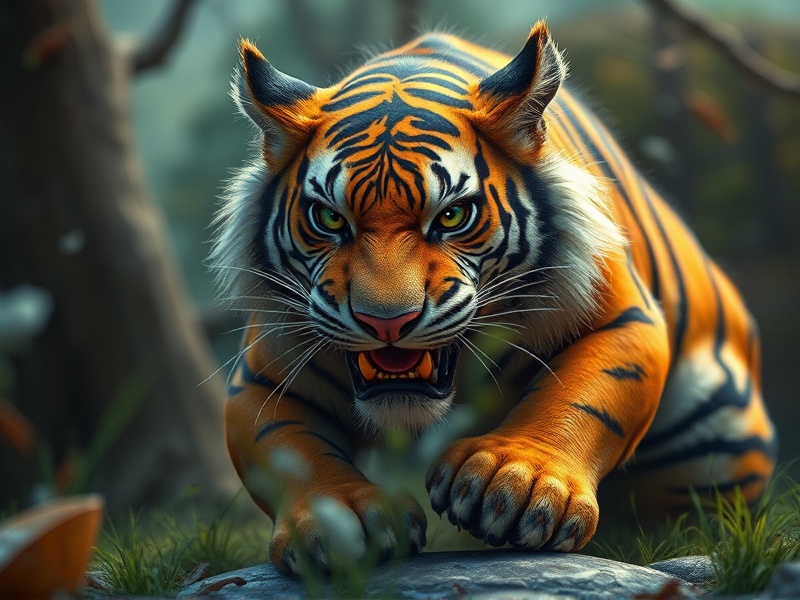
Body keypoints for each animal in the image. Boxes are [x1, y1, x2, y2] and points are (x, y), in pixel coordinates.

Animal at [211, 21, 777, 575]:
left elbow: (579, 396)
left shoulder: (622, 319)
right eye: (329, 218)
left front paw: (519, 480)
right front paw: (343, 519)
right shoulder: (262, 378)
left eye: (452, 216)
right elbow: (286, 446)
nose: (387, 322)